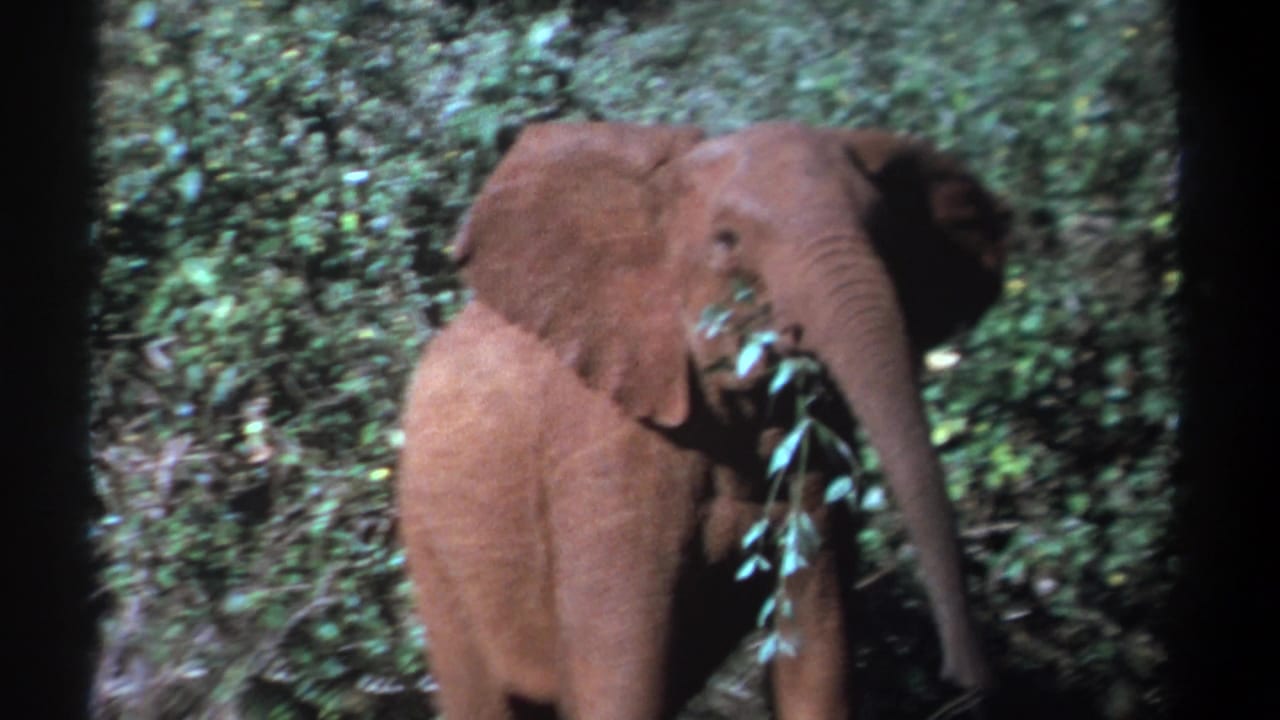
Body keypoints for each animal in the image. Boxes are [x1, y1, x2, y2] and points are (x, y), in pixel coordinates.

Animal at [397, 121, 1010, 719]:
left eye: (886, 234)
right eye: (726, 242)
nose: (964, 680)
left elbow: (818, 650)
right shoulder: (605, 451)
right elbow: (621, 679)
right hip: (432, 537)